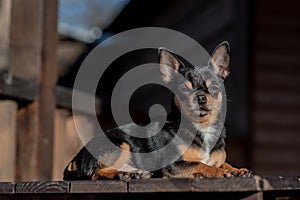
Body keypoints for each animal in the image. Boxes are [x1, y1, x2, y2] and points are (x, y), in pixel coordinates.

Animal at [63, 41, 253, 180]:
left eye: (213, 88)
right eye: (184, 90)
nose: (200, 97)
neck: (202, 127)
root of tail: (77, 157)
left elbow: (220, 163)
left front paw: (237, 169)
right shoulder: (174, 164)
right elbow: (201, 164)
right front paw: (220, 172)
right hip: (121, 145)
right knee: (96, 174)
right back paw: (123, 175)